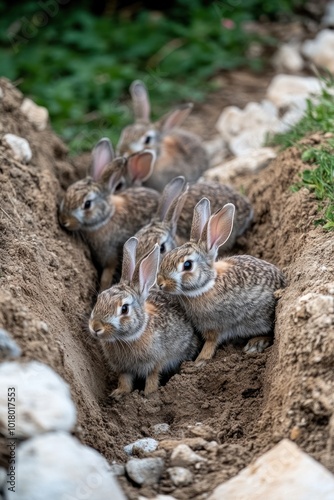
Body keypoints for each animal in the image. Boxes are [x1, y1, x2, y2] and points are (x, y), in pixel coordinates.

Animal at [58, 139, 159, 292]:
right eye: (67, 191)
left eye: (87, 204)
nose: (64, 221)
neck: (106, 219)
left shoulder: (112, 258)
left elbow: (106, 277)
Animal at [87, 237, 200, 398]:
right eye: (99, 298)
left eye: (124, 308)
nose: (96, 327)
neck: (127, 338)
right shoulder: (123, 368)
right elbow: (124, 379)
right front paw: (119, 393)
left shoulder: (157, 360)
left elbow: (153, 376)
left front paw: (149, 394)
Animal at [156, 198, 284, 364]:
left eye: (187, 265)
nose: (160, 283)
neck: (207, 285)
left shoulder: (215, 327)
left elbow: (211, 343)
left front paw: (199, 361)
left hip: (261, 318)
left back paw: (255, 344)